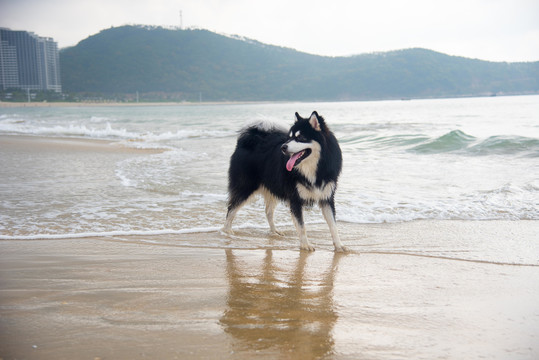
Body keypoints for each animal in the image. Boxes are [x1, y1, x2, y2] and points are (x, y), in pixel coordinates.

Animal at [221, 111, 348, 252]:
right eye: (290, 137)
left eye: (300, 137)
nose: (283, 147)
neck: (313, 168)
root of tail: (248, 139)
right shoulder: (295, 199)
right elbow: (301, 226)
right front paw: (305, 245)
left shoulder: (326, 197)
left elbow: (333, 226)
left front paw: (339, 246)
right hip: (246, 187)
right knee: (231, 208)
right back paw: (227, 232)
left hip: (272, 187)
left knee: (268, 212)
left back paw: (274, 232)